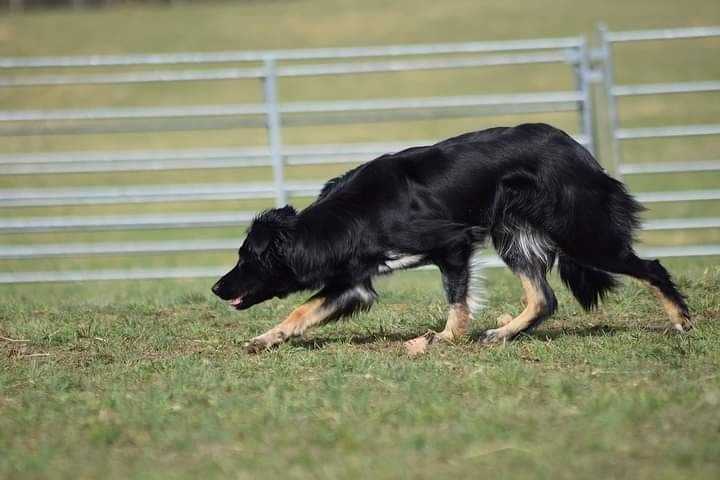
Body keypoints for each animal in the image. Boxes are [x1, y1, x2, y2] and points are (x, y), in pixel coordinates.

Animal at [210, 124, 692, 352]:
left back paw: (682, 321)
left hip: (581, 234)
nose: (216, 288)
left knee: (651, 268)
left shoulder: (453, 245)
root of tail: (579, 152)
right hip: (512, 235)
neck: (350, 217)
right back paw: (502, 335)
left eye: (247, 258)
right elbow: (302, 311)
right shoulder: (353, 282)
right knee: (544, 298)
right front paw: (265, 340)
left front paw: (443, 339)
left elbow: (456, 301)